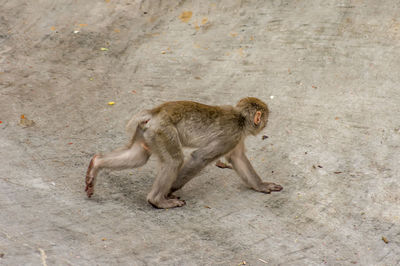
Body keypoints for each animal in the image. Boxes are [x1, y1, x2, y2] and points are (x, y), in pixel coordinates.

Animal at [86, 96, 282, 209]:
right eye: (265, 117)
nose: (266, 122)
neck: (240, 119)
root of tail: (154, 112)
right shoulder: (231, 136)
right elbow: (199, 157)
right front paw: (171, 189)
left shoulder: (236, 138)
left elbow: (237, 157)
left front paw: (261, 185)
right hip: (163, 131)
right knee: (174, 160)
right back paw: (157, 200)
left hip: (148, 133)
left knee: (139, 156)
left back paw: (96, 164)